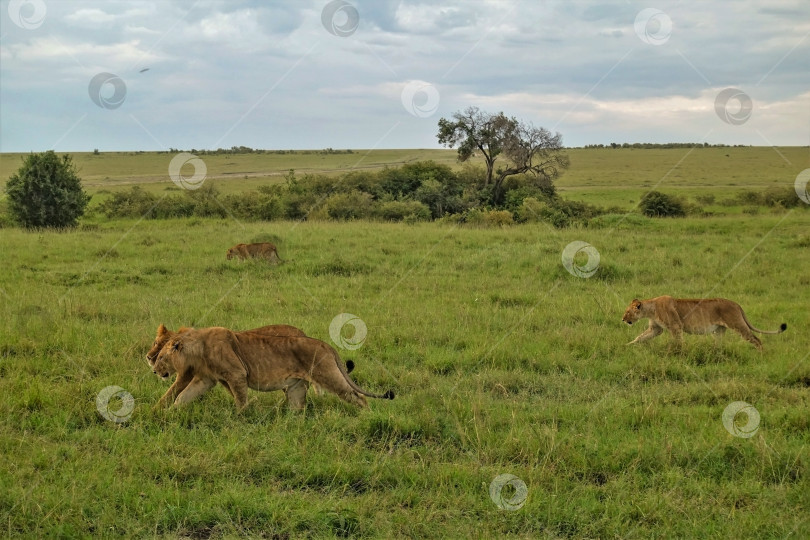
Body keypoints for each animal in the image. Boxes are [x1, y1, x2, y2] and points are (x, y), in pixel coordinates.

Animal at [152, 326, 392, 412]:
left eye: (161, 356)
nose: (154, 370)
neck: (197, 348)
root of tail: (326, 344)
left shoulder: (237, 374)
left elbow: (241, 400)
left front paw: (241, 417)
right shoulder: (205, 379)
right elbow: (182, 397)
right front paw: (170, 413)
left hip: (328, 376)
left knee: (358, 396)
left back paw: (366, 415)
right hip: (296, 387)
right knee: (298, 407)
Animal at [620, 296, 784, 350]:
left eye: (627, 311)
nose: (622, 319)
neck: (651, 308)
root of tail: (736, 304)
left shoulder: (676, 326)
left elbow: (678, 341)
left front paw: (680, 352)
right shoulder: (655, 329)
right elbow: (639, 338)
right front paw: (626, 346)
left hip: (737, 324)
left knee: (756, 340)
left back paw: (761, 356)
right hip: (719, 330)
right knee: (719, 345)